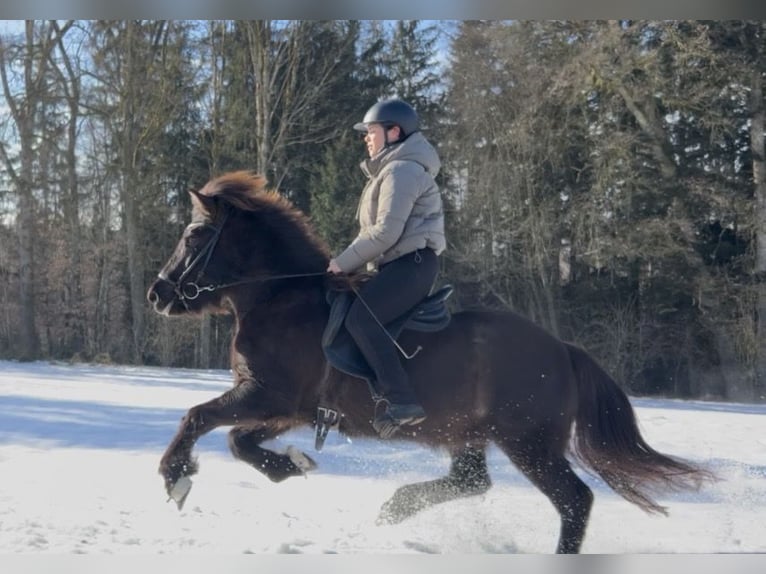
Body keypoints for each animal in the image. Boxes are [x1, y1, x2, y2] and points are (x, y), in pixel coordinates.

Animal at [146, 171, 713, 553]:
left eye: (194, 236)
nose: (158, 294)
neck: (279, 299)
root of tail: (563, 350)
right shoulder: (288, 408)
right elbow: (240, 443)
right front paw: (292, 464)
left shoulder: (268, 394)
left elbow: (198, 417)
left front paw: (175, 477)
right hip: (471, 433)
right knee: (473, 482)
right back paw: (396, 507)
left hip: (528, 442)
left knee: (574, 501)